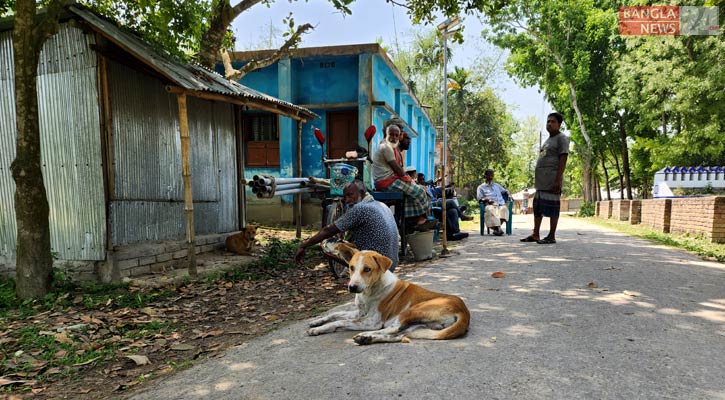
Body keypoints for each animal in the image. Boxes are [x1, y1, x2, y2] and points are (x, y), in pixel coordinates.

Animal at [306, 242, 470, 346]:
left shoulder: (371, 322)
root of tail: (464, 311)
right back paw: (368, 339)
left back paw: (365, 336)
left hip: (411, 311)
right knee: (398, 335)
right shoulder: (359, 313)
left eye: (367, 269)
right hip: (417, 326)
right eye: (351, 268)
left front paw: (320, 328)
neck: (369, 292)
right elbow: (335, 314)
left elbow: (339, 322)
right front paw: (317, 323)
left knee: (393, 329)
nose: (352, 287)